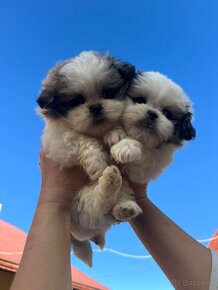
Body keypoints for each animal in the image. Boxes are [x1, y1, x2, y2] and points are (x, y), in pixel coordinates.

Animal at [37, 51, 136, 266]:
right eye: (77, 101)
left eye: (107, 94)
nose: (96, 107)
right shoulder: (58, 141)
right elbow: (81, 139)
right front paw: (97, 162)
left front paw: (115, 134)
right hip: (78, 205)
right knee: (99, 202)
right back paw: (108, 179)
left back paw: (124, 207)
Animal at [109, 72, 196, 220]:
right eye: (140, 100)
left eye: (167, 113)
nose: (152, 114)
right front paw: (118, 138)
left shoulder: (147, 167)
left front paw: (127, 147)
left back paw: (125, 207)